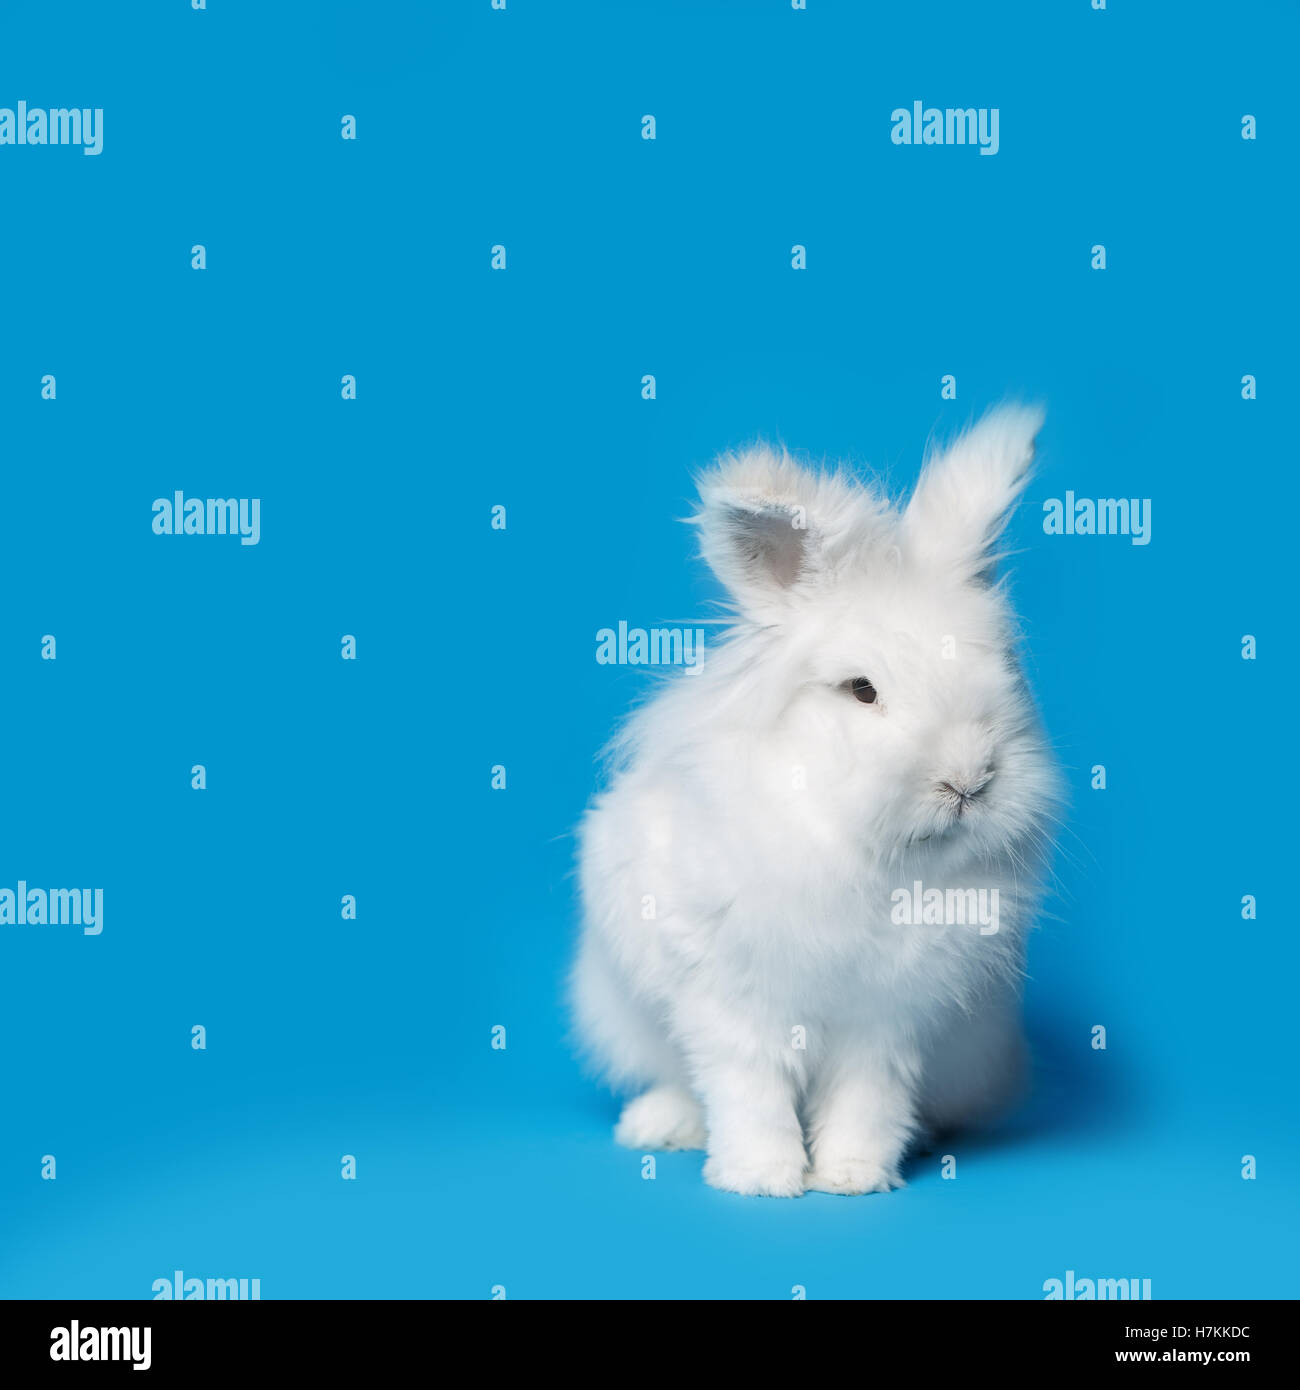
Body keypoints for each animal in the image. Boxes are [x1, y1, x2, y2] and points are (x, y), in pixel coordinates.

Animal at [571, 406, 1060, 1196]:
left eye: (1007, 669)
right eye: (861, 689)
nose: (970, 782)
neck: (857, 850)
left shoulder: (889, 1025)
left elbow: (869, 1099)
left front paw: (853, 1176)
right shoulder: (732, 1003)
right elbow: (749, 1090)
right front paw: (763, 1179)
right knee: (679, 1082)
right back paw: (658, 1126)